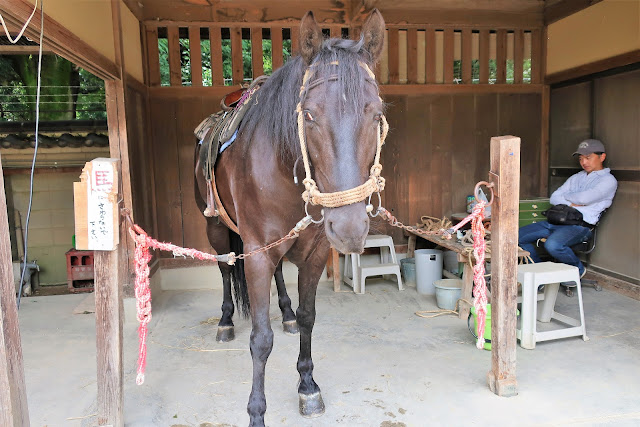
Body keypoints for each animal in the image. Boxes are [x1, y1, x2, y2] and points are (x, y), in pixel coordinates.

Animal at [194, 8, 384, 426]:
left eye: (376, 114)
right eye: (309, 115)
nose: (350, 229)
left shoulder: (314, 252)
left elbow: (309, 316)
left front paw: (308, 386)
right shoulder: (257, 253)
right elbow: (260, 339)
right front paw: (256, 412)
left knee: (282, 277)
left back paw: (285, 313)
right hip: (215, 227)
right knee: (224, 267)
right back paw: (225, 321)